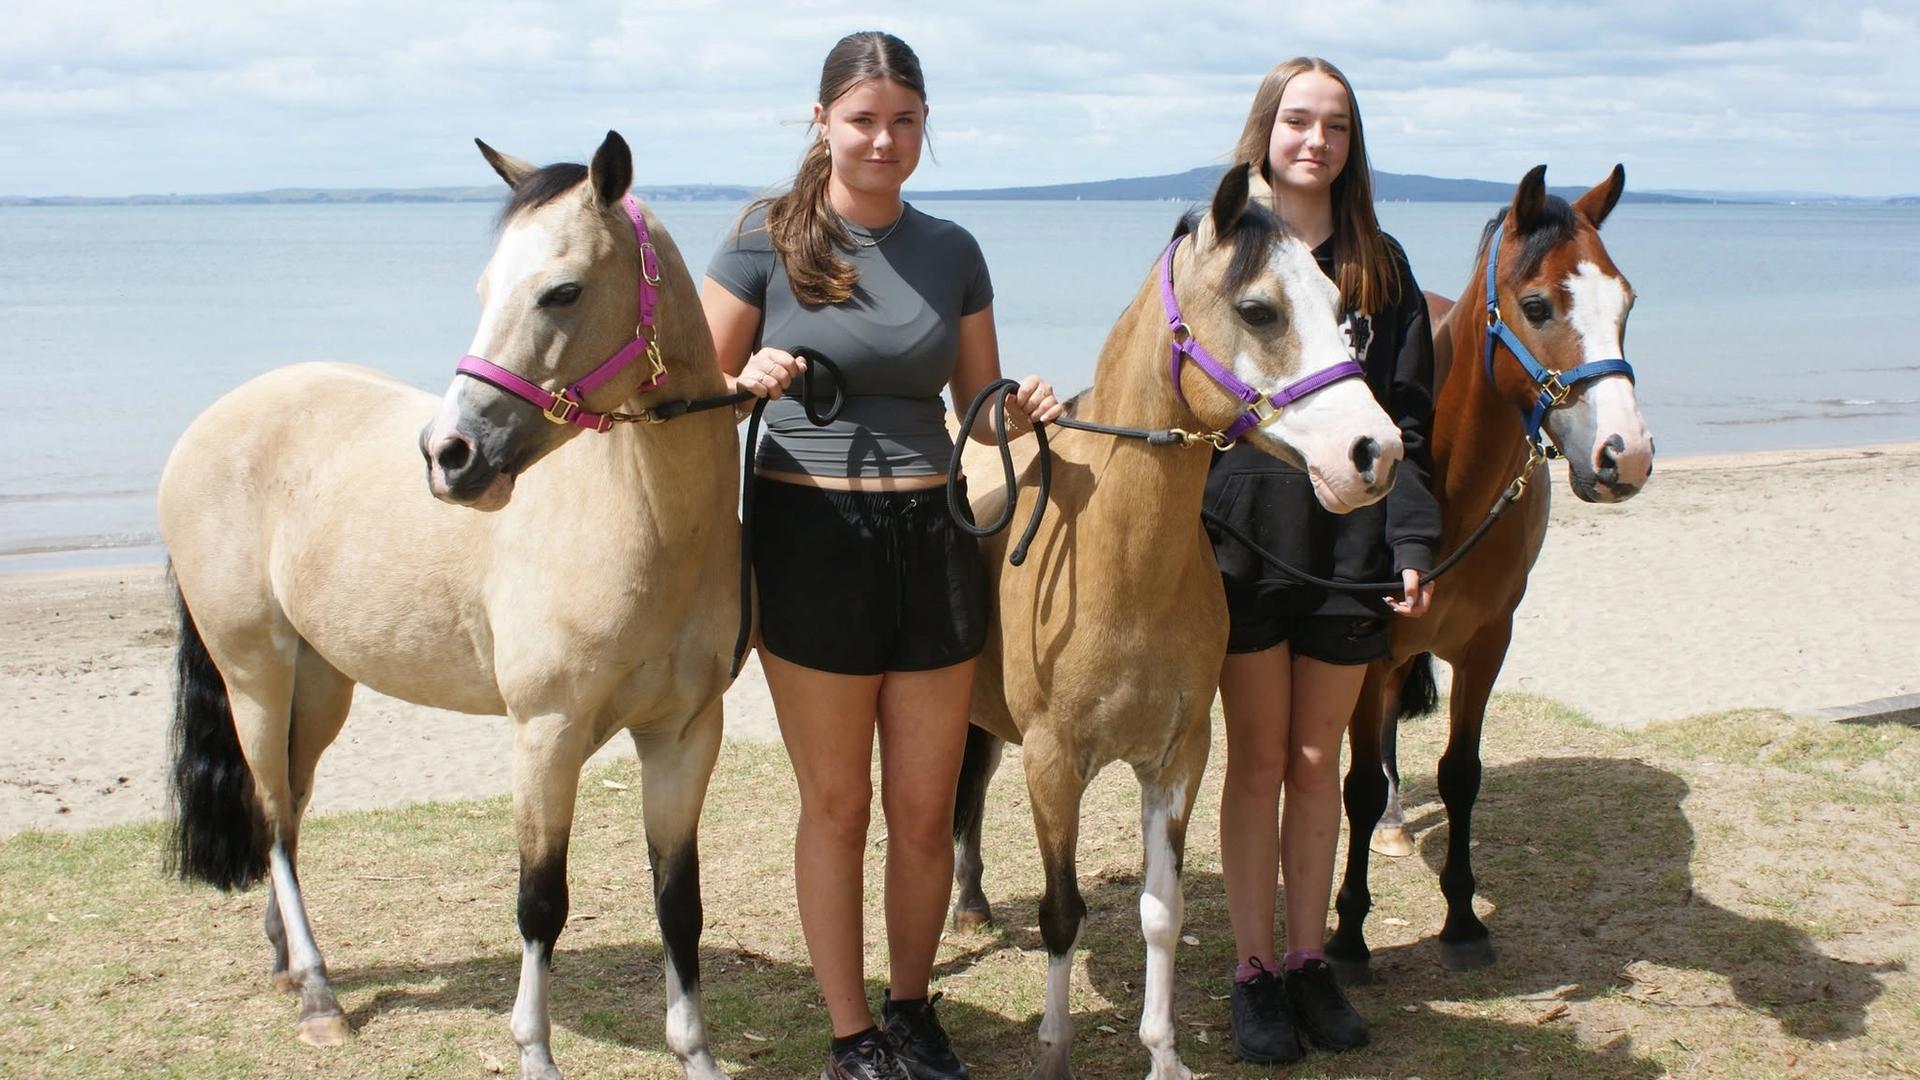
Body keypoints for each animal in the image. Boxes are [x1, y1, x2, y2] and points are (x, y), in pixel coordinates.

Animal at [159, 132, 740, 1080]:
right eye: (483, 288)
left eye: (562, 289)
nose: (450, 455)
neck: (648, 524)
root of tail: (211, 424)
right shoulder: (546, 734)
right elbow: (541, 901)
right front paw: (533, 1050)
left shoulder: (683, 735)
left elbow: (677, 900)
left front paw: (695, 1054)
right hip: (254, 675)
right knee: (275, 821)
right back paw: (317, 994)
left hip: (320, 686)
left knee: (292, 807)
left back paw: (286, 960)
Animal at [948, 164, 1406, 1080]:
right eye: (1261, 309)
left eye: (1344, 310)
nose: (1375, 452)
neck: (1119, 564)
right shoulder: (1053, 765)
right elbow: (1062, 911)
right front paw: (1054, 1051)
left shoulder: (1177, 760)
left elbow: (1162, 912)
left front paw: (1162, 1053)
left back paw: (972, 903)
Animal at [1325, 165, 1655, 983]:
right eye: (1537, 305)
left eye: (1627, 301)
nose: (1625, 456)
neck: (1448, 485)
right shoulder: (1368, 644)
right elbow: (1357, 783)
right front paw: (1348, 935)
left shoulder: (1487, 644)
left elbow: (1460, 774)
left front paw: (1463, 920)